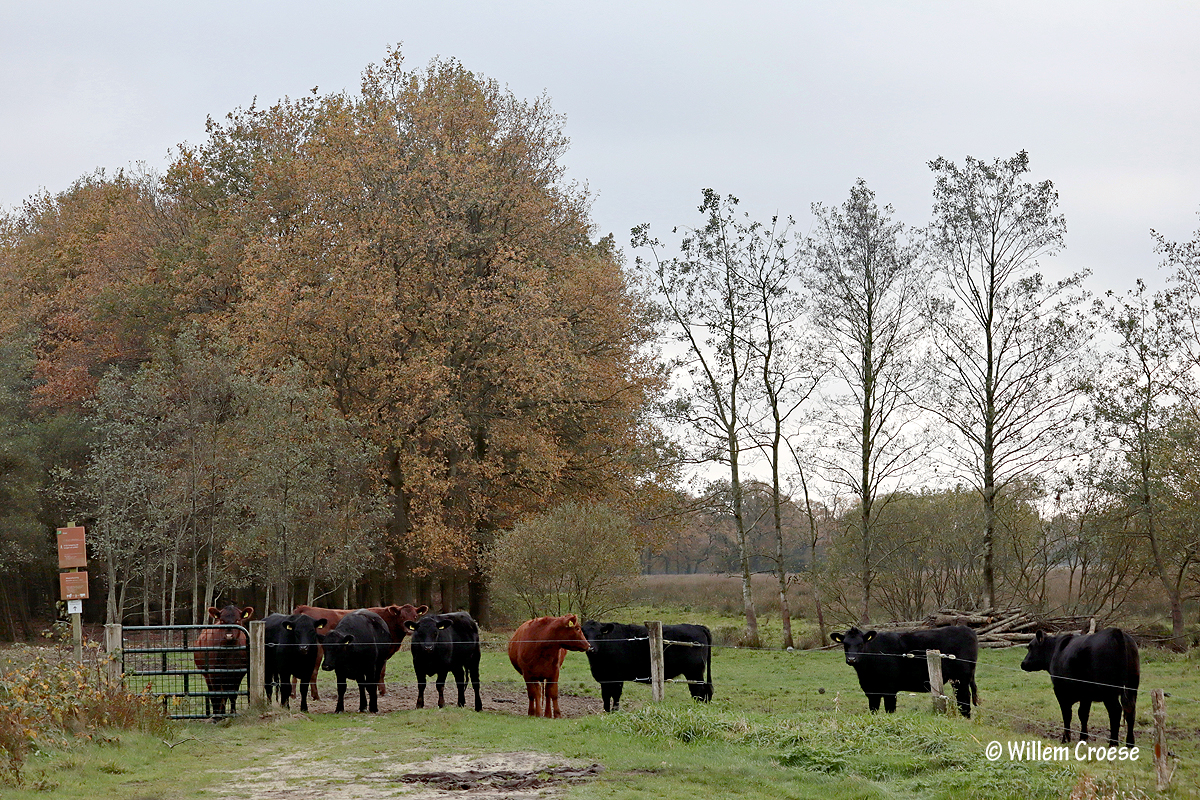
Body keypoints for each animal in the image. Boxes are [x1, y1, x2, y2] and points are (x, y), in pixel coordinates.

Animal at [293, 603, 427, 699]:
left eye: (415, 616)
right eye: (402, 616)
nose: (410, 630)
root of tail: (305, 608)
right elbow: (382, 672)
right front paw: (382, 691)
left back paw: (293, 695)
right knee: (313, 672)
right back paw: (316, 696)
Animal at [581, 621, 713, 711]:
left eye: (599, 635)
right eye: (584, 635)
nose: (591, 648)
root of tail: (697, 626)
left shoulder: (617, 677)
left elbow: (616, 694)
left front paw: (615, 711)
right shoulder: (605, 678)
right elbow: (606, 696)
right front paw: (607, 711)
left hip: (694, 671)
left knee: (699, 690)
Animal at [831, 625, 979, 717]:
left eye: (861, 644)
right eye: (845, 644)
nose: (851, 659)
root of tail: (967, 629)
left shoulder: (889, 689)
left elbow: (890, 709)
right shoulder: (871, 690)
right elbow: (873, 709)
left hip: (962, 678)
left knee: (964, 698)